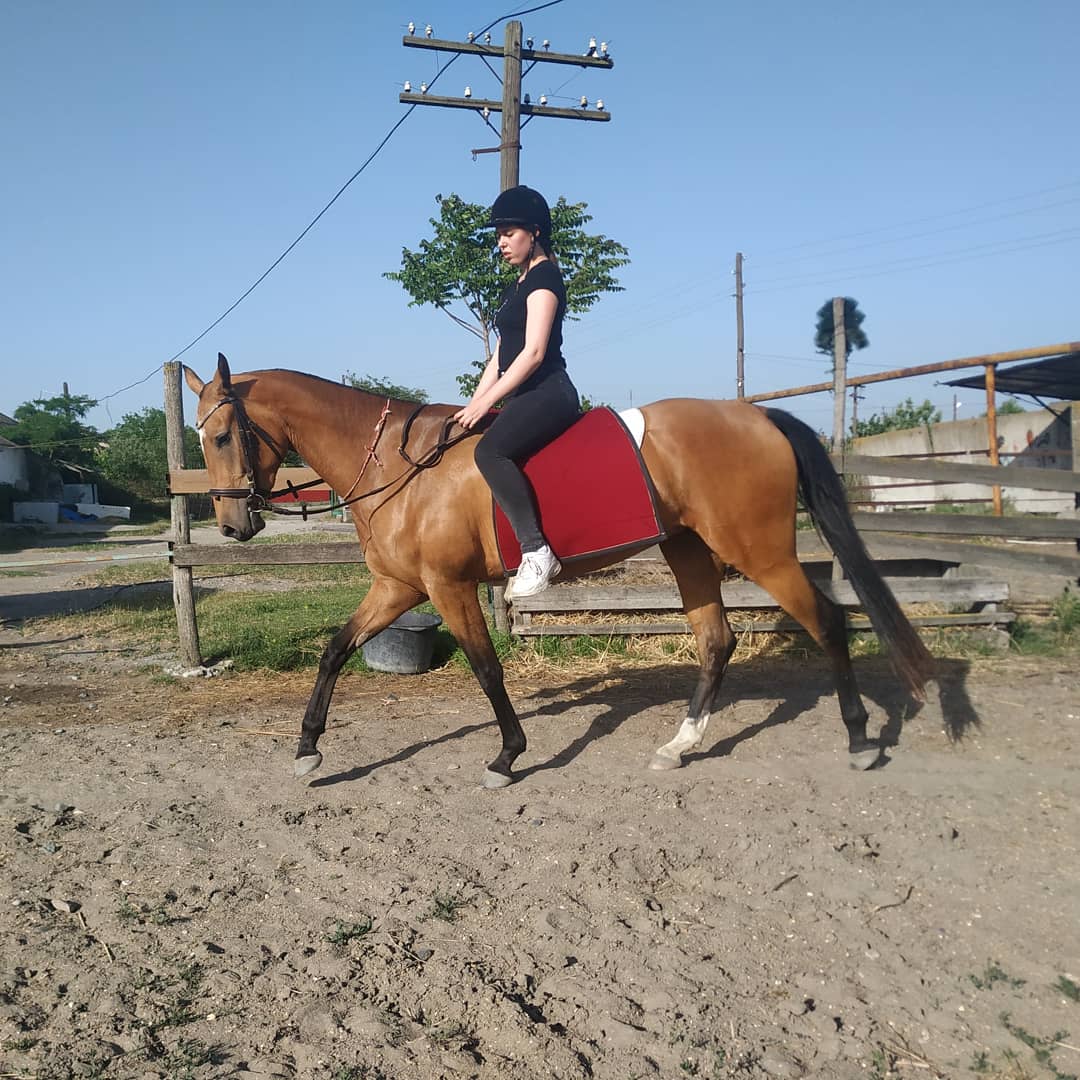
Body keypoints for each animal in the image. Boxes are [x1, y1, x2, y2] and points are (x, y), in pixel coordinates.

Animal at [184, 354, 935, 787]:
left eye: (221, 436)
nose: (232, 525)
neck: (401, 466)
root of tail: (757, 419)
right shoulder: (398, 587)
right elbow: (334, 652)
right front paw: (307, 749)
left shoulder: (447, 586)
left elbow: (487, 668)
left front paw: (508, 755)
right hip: (689, 550)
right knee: (716, 641)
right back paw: (681, 745)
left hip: (760, 551)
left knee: (828, 620)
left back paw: (860, 739)